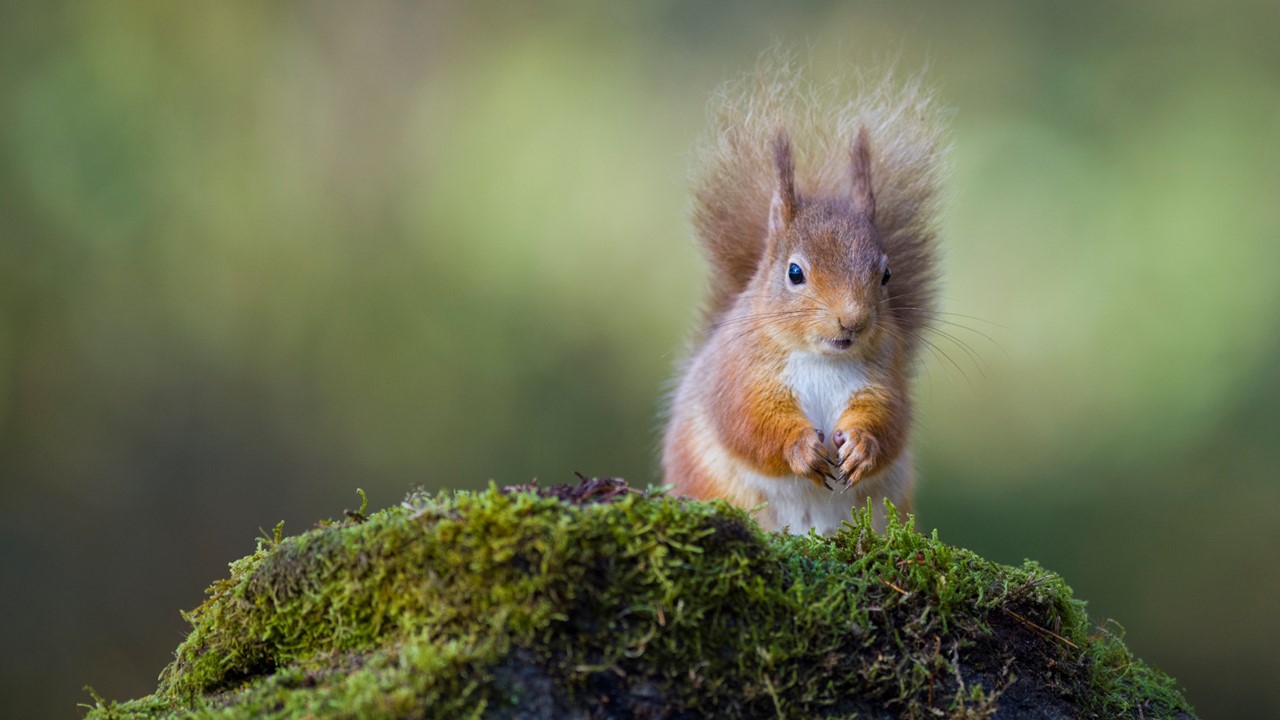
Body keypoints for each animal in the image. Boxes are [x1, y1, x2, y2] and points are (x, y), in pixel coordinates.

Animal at [665, 63, 947, 532]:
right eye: (794, 273)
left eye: (886, 275)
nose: (852, 321)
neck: (823, 360)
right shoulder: (738, 373)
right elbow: (750, 421)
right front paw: (800, 449)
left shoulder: (885, 375)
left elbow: (889, 420)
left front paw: (862, 446)